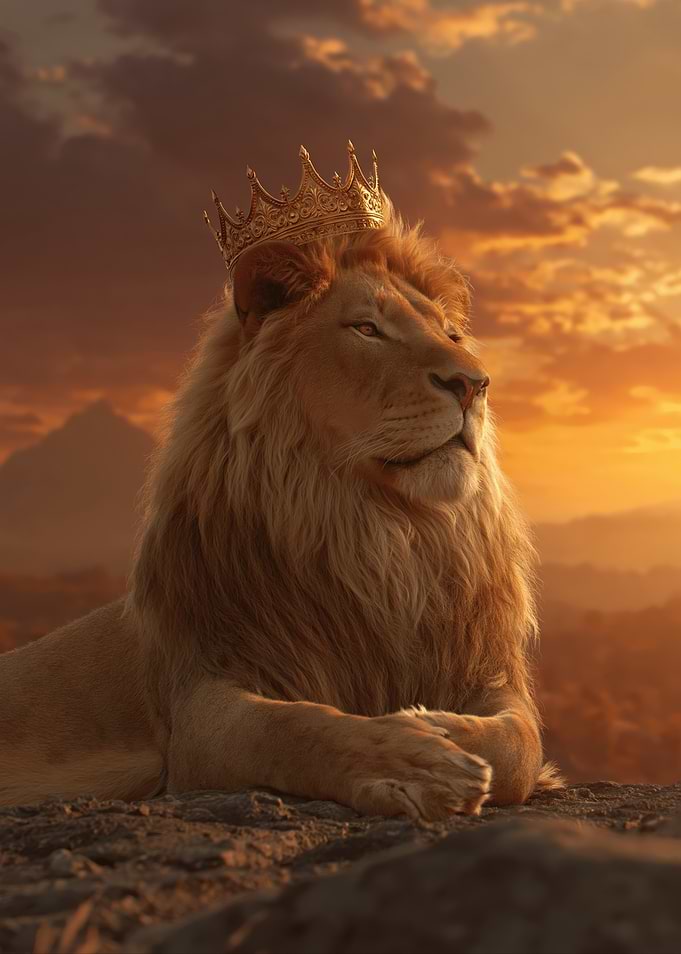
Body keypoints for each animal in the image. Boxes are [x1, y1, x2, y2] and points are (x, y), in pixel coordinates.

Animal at [0, 202, 562, 818]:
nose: (473, 383)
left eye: (453, 334)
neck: (380, 536)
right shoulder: (199, 703)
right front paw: (413, 762)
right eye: (367, 328)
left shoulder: (487, 672)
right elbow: (293, 728)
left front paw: (439, 725)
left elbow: (520, 744)